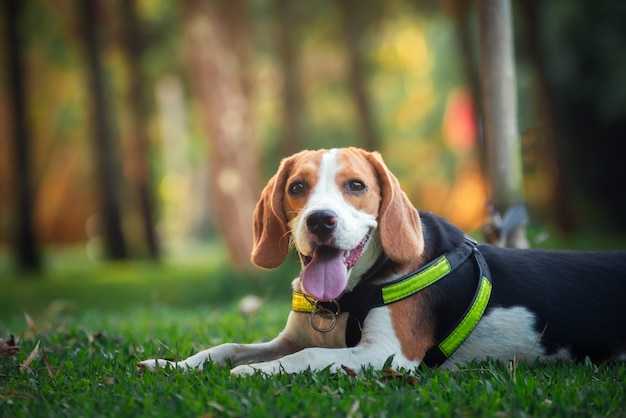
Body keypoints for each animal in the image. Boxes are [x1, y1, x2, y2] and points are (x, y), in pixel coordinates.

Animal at [139, 148, 624, 376]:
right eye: (297, 188)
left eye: (356, 185)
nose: (320, 220)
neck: (350, 294)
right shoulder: (288, 338)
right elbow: (226, 347)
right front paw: (172, 366)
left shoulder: (387, 354)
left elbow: (304, 356)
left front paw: (251, 373)